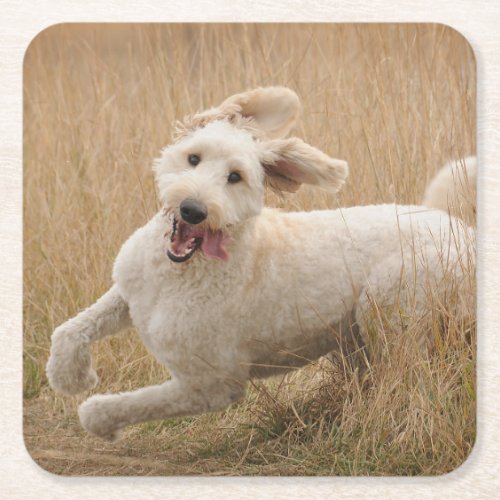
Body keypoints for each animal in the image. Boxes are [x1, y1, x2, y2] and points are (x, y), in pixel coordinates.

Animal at [45, 88, 474, 440]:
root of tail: (459, 226)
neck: (179, 273)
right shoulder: (129, 291)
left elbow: (130, 403)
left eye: (235, 177)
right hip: (356, 334)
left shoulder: (211, 384)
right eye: (193, 158)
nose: (193, 210)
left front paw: (99, 419)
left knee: (406, 381)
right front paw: (70, 375)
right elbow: (71, 329)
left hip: (391, 311)